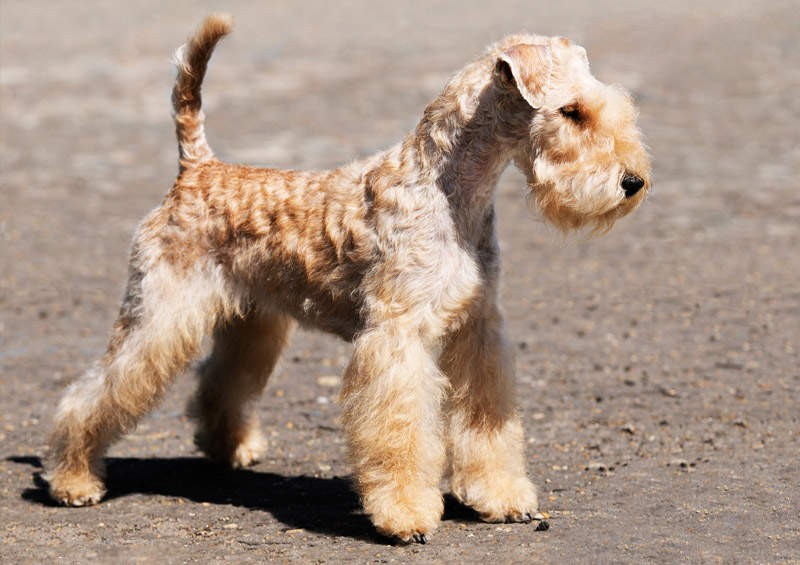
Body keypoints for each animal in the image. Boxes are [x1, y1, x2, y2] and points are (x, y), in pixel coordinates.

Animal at [47, 13, 648, 540]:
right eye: (572, 111)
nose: (633, 181)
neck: (449, 190)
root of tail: (196, 169)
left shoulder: (477, 329)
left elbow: (487, 427)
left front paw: (500, 496)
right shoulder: (397, 336)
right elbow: (399, 430)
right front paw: (405, 515)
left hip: (253, 323)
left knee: (220, 385)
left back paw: (232, 450)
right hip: (159, 314)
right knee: (93, 393)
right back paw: (74, 480)